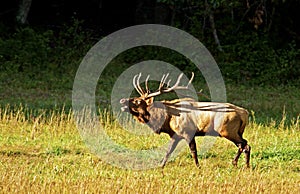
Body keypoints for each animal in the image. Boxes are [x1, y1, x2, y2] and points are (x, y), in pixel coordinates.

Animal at [119, 73, 251, 168]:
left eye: (137, 101)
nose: (122, 100)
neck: (166, 119)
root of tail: (245, 113)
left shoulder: (188, 132)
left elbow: (193, 151)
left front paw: (198, 167)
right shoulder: (175, 135)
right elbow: (169, 151)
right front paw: (161, 165)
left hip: (227, 131)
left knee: (245, 144)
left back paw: (240, 164)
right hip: (236, 132)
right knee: (244, 145)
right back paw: (242, 164)